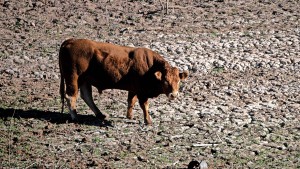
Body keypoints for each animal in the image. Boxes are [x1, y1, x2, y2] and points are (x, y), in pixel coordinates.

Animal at [58, 39, 188, 125]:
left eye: (178, 81)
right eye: (165, 81)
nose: (173, 94)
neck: (150, 66)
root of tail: (70, 41)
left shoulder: (134, 88)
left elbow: (131, 101)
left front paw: (129, 116)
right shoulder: (142, 91)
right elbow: (144, 105)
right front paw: (148, 121)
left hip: (85, 79)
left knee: (86, 96)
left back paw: (100, 114)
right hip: (73, 78)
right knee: (70, 96)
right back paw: (75, 117)